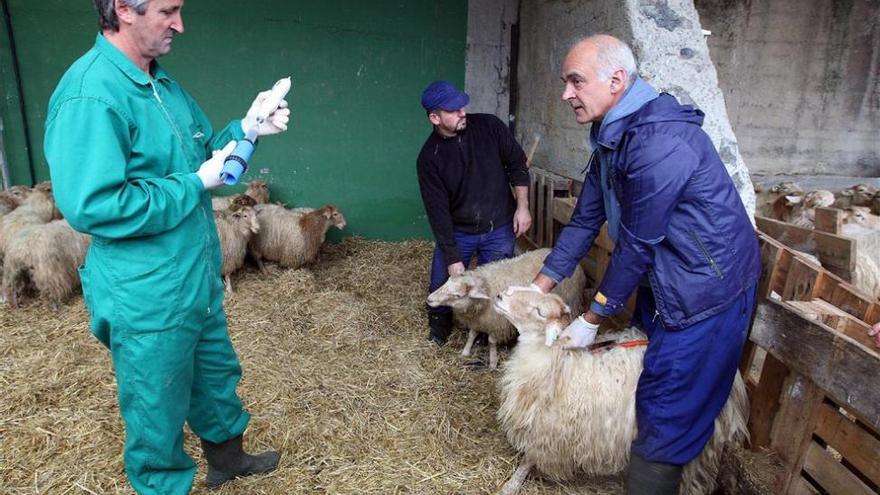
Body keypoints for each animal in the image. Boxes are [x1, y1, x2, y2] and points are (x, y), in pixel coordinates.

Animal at [426, 250, 584, 370]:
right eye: (446, 281)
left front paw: (493, 362)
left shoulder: (497, 324)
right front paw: (465, 351)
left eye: (457, 295)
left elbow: (491, 342)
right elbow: (472, 334)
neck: (487, 286)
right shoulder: (478, 320)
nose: (429, 299)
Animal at [492, 288, 744, 494]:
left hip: (698, 448)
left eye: (539, 311)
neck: (556, 360)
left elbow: (528, 459)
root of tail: (735, 381)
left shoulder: (547, 432)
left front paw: (512, 484)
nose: (500, 296)